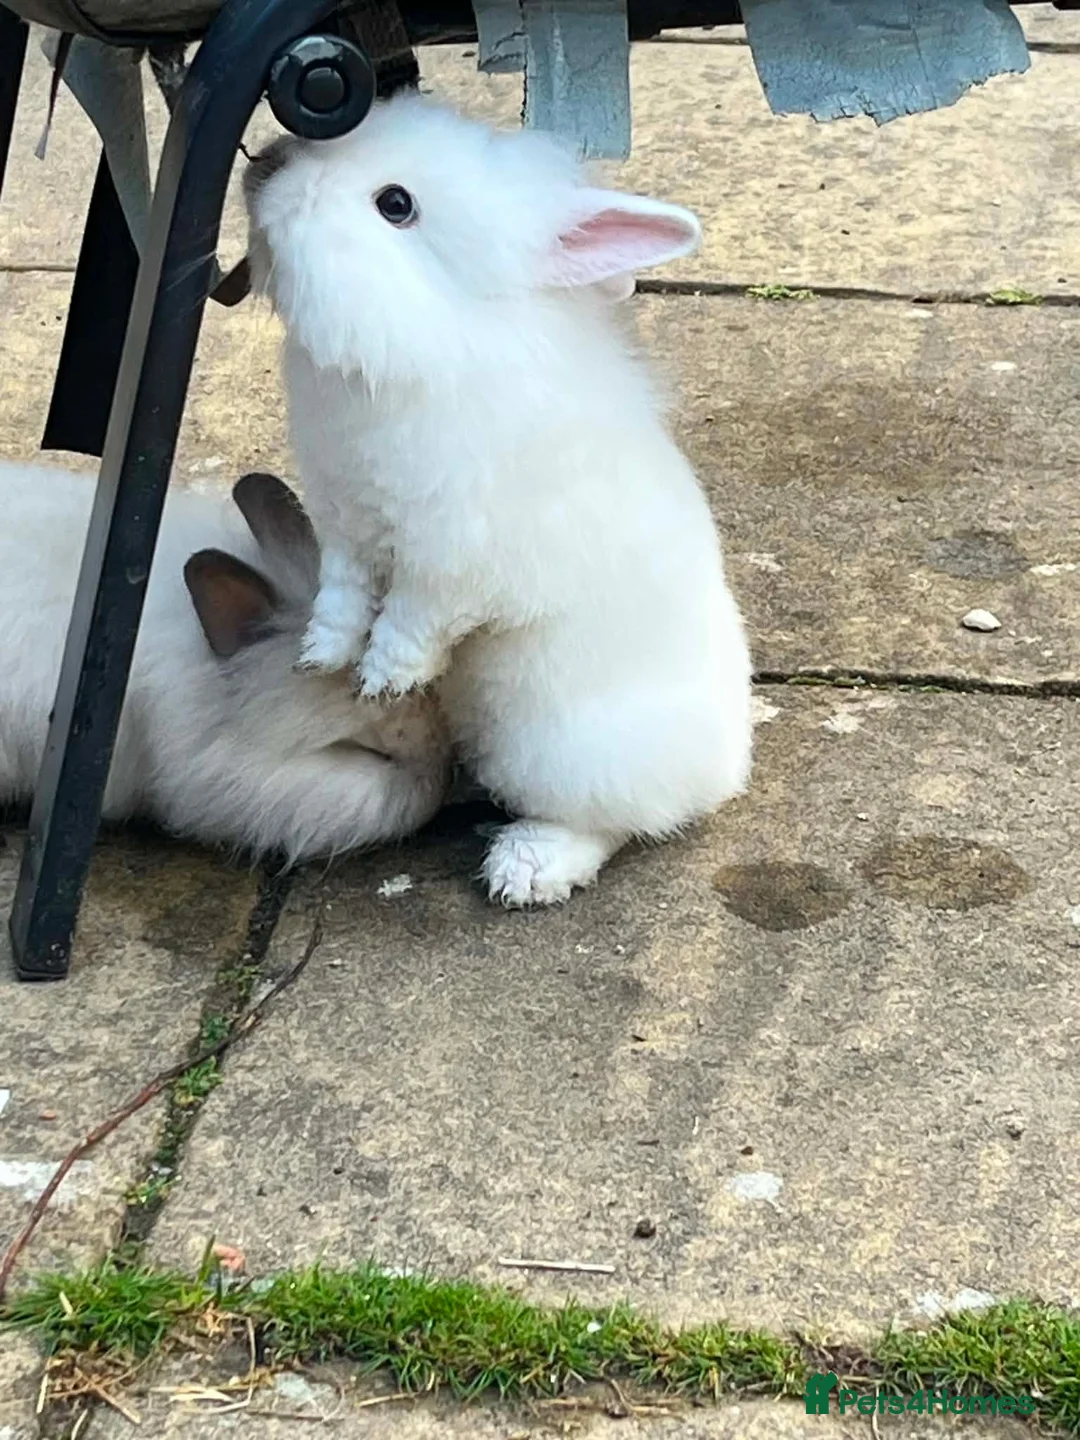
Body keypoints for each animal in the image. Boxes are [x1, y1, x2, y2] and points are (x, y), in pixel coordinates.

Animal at [244, 92, 753, 905]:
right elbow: (344, 595)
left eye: (395, 205)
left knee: (617, 820)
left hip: (556, 749)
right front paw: (320, 656)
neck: (434, 333)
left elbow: (413, 620)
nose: (265, 163)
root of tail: (725, 765)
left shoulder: (452, 558)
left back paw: (529, 868)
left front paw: (382, 679)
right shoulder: (347, 524)